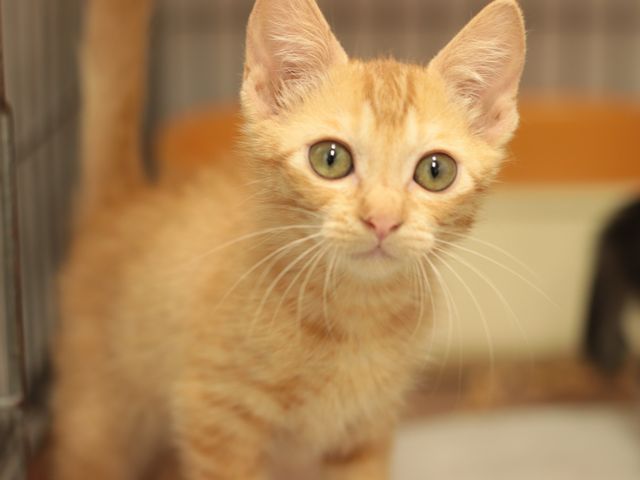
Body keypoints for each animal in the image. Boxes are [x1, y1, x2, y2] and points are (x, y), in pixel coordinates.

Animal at [52, 0, 526, 479]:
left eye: (435, 170)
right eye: (330, 159)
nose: (382, 219)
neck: (356, 316)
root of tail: (126, 198)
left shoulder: (365, 435)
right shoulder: (217, 419)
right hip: (100, 418)